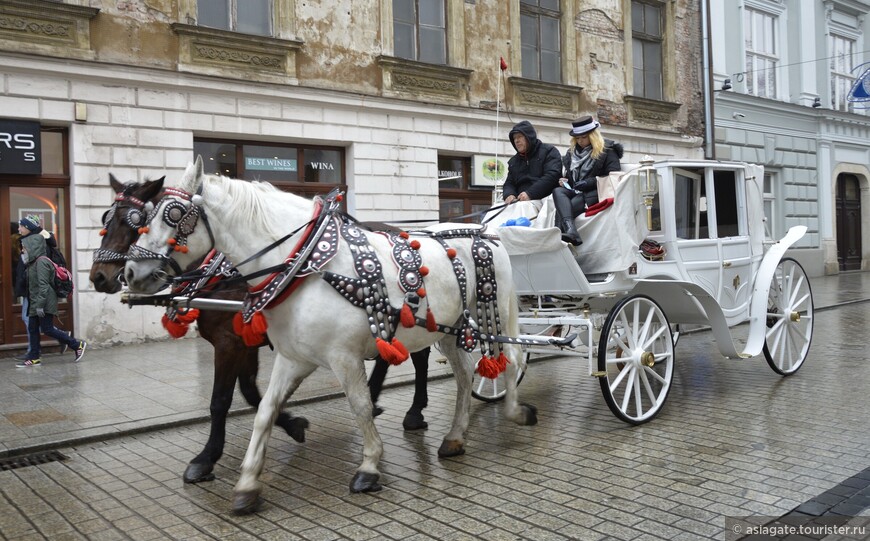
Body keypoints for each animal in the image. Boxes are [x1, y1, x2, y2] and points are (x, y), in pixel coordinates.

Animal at [90, 175, 308, 484]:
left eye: (134, 220)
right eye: (105, 218)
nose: (98, 276)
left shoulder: (229, 343)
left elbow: (220, 400)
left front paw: (206, 459)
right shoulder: (244, 342)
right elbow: (252, 393)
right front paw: (293, 424)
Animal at [124, 157, 540, 516]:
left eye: (172, 214)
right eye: (142, 218)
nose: (129, 273)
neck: (303, 264)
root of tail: (487, 232)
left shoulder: (343, 356)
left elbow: (359, 405)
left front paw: (369, 466)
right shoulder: (293, 357)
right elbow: (264, 411)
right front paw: (247, 484)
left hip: (494, 312)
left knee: (512, 360)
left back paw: (515, 412)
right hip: (449, 327)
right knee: (466, 374)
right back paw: (455, 436)